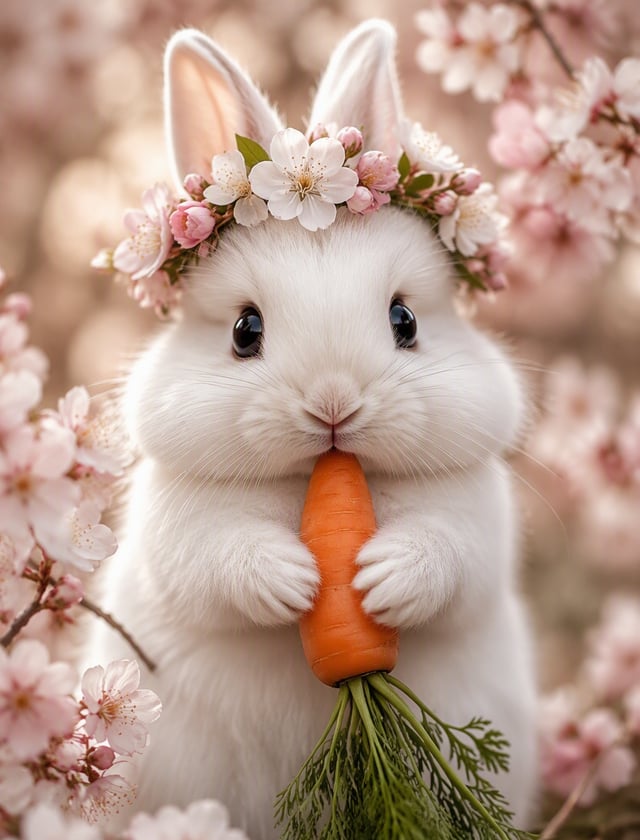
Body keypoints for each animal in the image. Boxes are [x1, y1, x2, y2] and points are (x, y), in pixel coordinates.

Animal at [88, 19, 538, 839]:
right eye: (245, 331)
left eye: (405, 320)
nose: (334, 406)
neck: (314, 483)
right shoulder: (181, 527)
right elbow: (218, 559)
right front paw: (294, 579)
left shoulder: (473, 517)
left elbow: (449, 557)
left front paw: (379, 579)